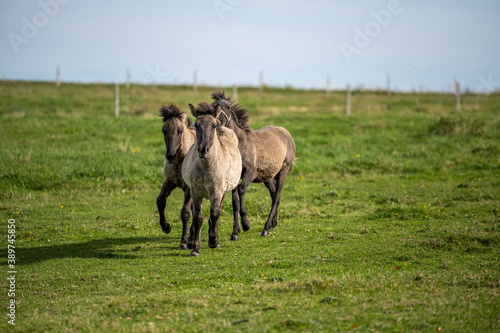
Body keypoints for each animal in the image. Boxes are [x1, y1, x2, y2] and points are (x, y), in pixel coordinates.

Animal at [156, 104, 195, 249]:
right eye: (163, 130)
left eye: (180, 130)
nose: (170, 156)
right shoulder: (169, 182)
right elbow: (160, 200)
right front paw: (166, 227)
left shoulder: (189, 188)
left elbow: (185, 212)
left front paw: (183, 242)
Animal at [183, 102, 243, 255]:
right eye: (196, 125)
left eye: (213, 126)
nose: (203, 149)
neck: (207, 167)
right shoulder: (196, 192)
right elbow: (198, 218)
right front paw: (195, 248)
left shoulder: (217, 191)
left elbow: (215, 214)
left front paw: (213, 241)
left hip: (225, 191)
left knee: (218, 211)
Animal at [211, 90, 296, 236]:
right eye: (213, 106)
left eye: (228, 107)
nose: (219, 123)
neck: (240, 144)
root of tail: (286, 133)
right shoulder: (235, 176)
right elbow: (235, 201)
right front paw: (235, 231)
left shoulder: (251, 172)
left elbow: (241, 190)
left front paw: (246, 224)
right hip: (268, 176)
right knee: (273, 194)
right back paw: (273, 223)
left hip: (283, 170)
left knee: (277, 196)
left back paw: (265, 228)